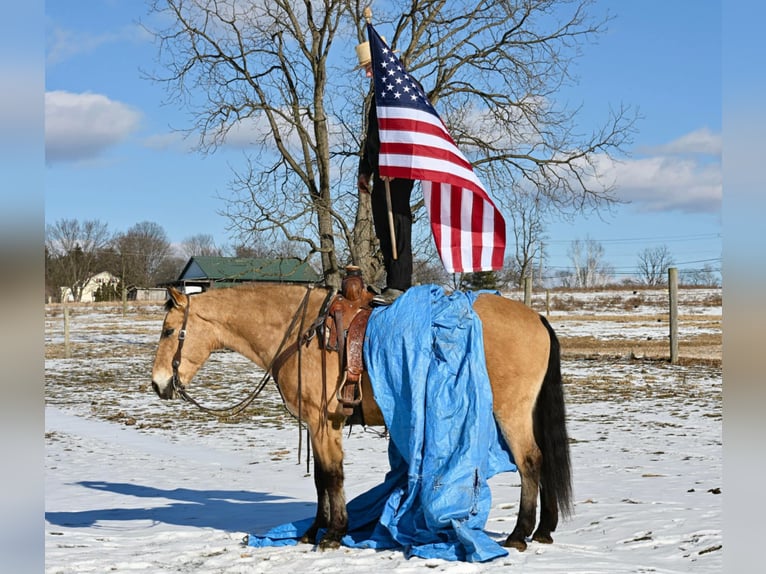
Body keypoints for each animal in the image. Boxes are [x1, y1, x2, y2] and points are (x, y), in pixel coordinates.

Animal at [150, 284, 572, 552]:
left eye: (170, 331)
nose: (158, 384)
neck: (298, 333)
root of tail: (535, 318)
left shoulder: (323, 423)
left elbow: (331, 477)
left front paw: (333, 534)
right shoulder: (319, 425)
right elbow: (321, 480)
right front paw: (313, 532)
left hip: (511, 413)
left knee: (530, 462)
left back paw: (519, 534)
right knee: (543, 461)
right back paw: (544, 530)